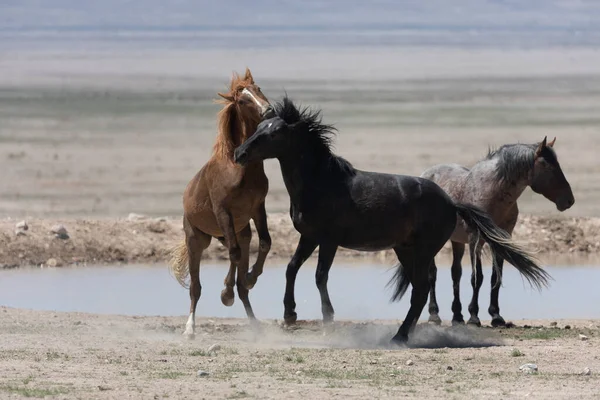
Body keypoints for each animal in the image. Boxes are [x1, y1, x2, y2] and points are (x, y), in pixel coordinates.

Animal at [169, 68, 272, 338]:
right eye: (242, 100)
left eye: (258, 89)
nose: (269, 111)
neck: (239, 167)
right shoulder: (222, 211)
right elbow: (234, 255)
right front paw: (226, 293)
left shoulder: (257, 208)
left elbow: (265, 243)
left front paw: (250, 278)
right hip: (197, 240)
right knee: (195, 287)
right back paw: (190, 328)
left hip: (237, 232)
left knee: (241, 266)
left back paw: (254, 321)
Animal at [232, 97, 552, 344]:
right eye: (258, 127)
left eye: (274, 133)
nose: (239, 153)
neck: (321, 183)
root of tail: (451, 203)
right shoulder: (308, 236)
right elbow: (291, 268)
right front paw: (289, 314)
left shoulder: (329, 240)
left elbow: (320, 275)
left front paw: (328, 318)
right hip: (405, 250)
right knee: (418, 291)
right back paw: (403, 333)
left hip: (422, 251)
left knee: (421, 290)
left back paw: (400, 336)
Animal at [420, 139, 576, 326]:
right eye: (546, 165)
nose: (569, 200)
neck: (492, 194)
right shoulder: (475, 240)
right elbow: (477, 277)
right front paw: (474, 317)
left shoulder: (502, 239)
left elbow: (495, 277)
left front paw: (496, 316)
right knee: (432, 274)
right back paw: (434, 314)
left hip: (457, 241)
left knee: (455, 273)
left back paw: (457, 316)